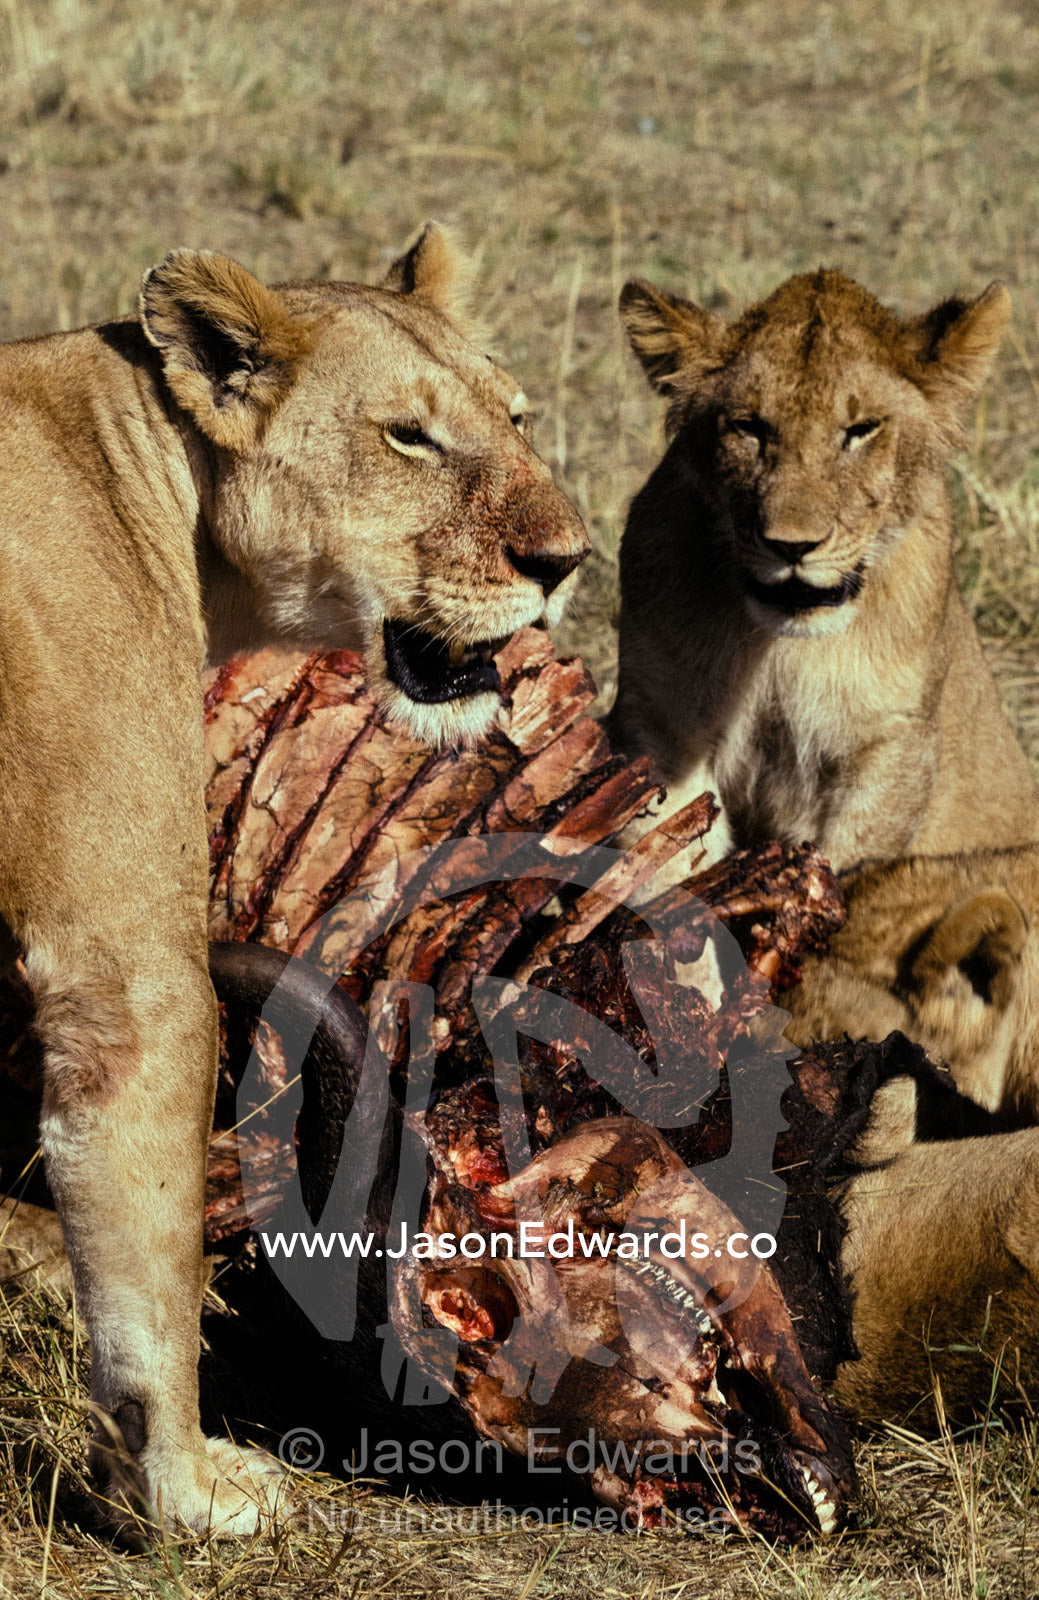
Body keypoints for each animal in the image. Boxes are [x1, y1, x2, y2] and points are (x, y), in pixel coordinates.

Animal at [0, 222, 588, 1538]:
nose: (569, 561)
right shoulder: (126, 973)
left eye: (518, 415)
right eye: (409, 436)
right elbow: (150, 1255)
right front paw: (180, 1488)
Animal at [606, 268, 1038, 874]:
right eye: (749, 427)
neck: (784, 649)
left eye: (861, 430)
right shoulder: (661, 719)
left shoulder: (889, 744)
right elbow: (662, 856)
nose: (791, 546)